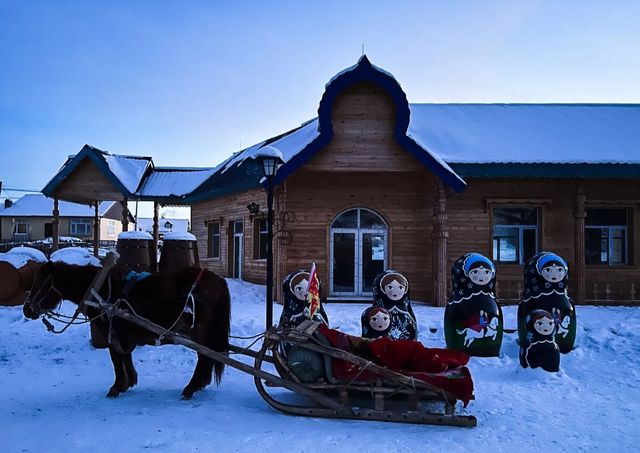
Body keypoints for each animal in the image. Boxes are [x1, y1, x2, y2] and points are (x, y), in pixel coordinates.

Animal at [23, 260, 231, 398]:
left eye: (40, 283)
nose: (26, 309)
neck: (101, 292)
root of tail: (218, 280)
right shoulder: (122, 334)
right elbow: (125, 356)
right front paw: (130, 381)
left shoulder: (111, 332)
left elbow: (116, 359)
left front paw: (117, 387)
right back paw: (198, 385)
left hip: (199, 332)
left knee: (204, 356)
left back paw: (191, 388)